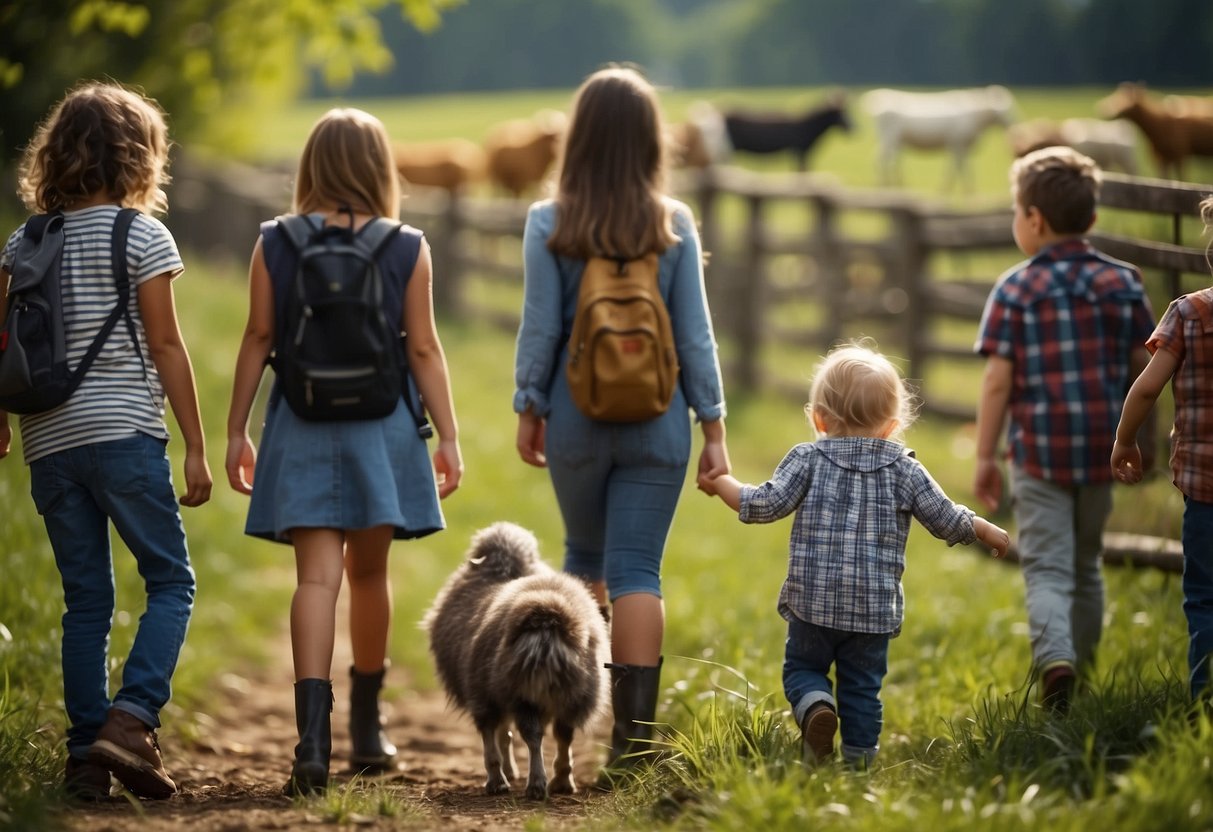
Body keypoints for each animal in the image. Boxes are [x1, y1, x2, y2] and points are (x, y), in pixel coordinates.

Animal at [424, 521, 611, 800]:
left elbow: (497, 736)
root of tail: (545, 624)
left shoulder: (489, 694)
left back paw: (518, 782)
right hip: (575, 694)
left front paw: (504, 774)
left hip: (506, 692)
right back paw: (558, 782)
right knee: (562, 734)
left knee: (520, 735)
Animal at [858, 86, 1018, 194]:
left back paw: (896, 185)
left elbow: (959, 167)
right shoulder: (957, 143)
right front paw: (961, 190)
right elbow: (960, 167)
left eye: (1011, 107)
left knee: (889, 160)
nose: (1013, 124)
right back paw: (885, 185)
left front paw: (958, 189)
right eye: (1003, 109)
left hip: (894, 140)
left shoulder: (957, 146)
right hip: (890, 137)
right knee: (882, 159)